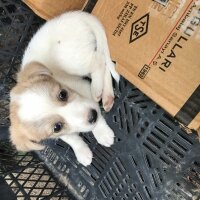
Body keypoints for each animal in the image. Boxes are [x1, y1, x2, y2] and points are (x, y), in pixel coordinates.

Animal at [9, 11, 119, 166]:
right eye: (57, 127)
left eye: (63, 94)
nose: (92, 116)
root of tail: (75, 15)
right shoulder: (60, 134)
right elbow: (71, 138)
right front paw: (81, 151)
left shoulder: (85, 89)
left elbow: (96, 117)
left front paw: (102, 133)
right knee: (103, 64)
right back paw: (107, 96)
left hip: (76, 62)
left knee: (99, 60)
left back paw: (97, 89)